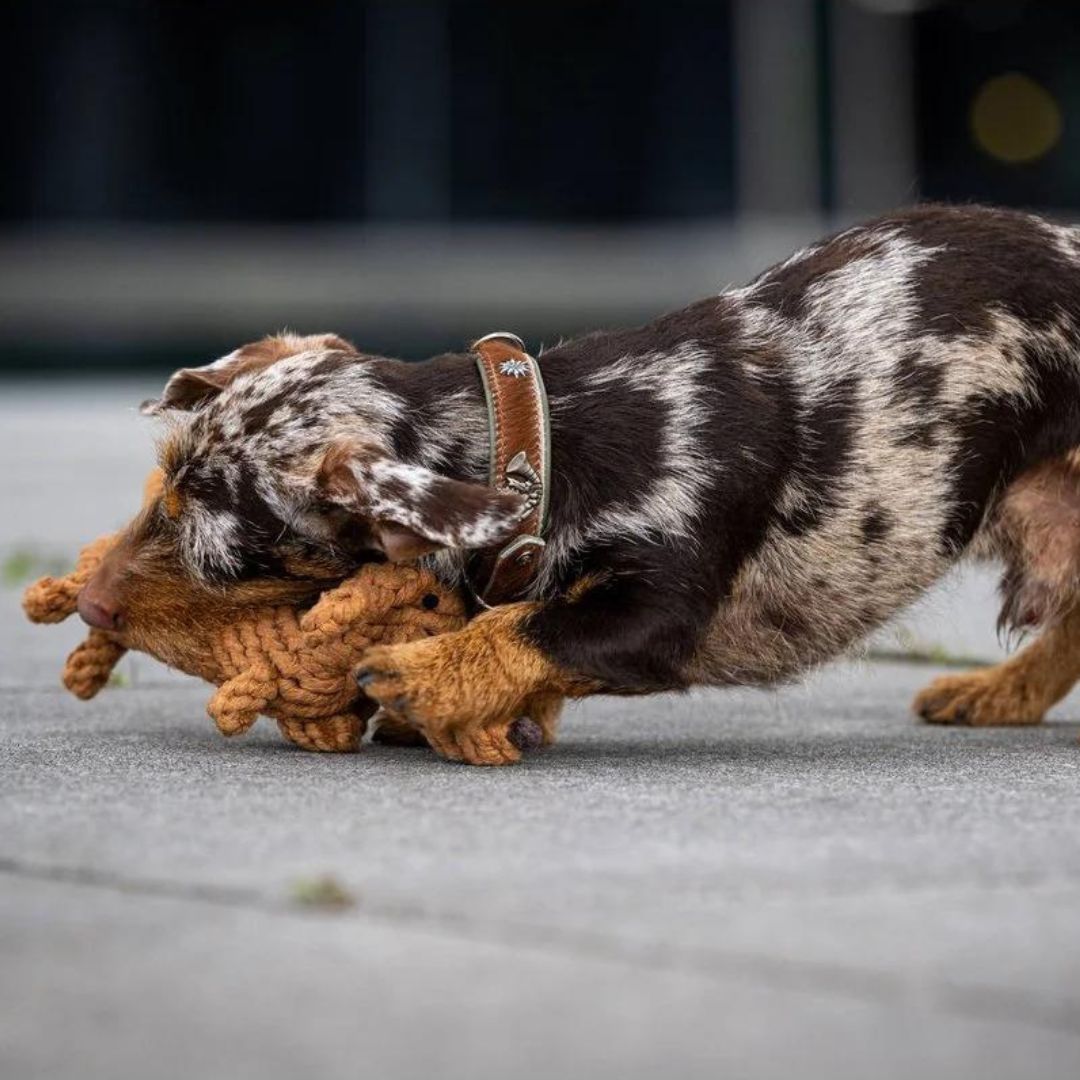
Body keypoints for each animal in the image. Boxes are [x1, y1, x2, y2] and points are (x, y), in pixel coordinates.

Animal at [79, 203, 1080, 760]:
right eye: (159, 495)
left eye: (220, 559)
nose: (84, 601)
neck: (542, 440)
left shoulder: (660, 612)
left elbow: (531, 625)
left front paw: (428, 676)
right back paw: (997, 695)